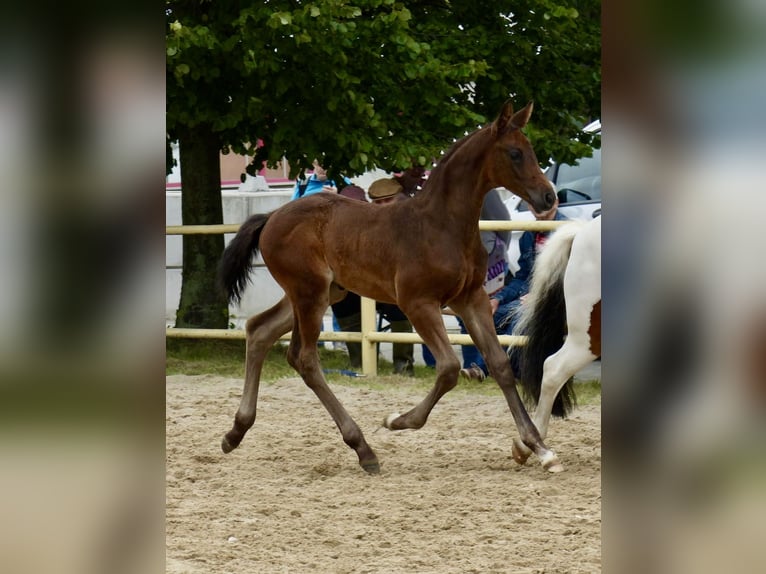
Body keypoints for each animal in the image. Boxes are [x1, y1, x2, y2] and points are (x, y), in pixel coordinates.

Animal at [218, 100, 561, 474]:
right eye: (515, 153)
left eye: (531, 150)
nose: (548, 197)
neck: (443, 225)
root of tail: (271, 217)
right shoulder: (418, 303)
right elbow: (448, 369)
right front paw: (397, 420)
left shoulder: (472, 299)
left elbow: (499, 365)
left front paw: (539, 447)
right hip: (309, 293)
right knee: (303, 357)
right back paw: (363, 448)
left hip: (322, 292)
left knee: (260, 330)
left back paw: (235, 432)